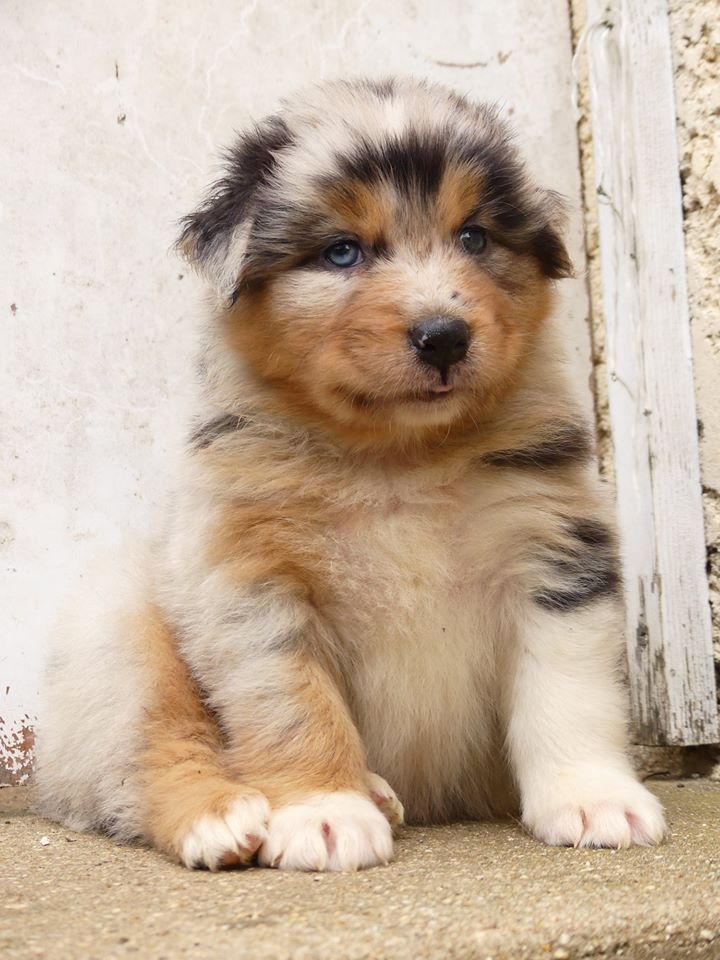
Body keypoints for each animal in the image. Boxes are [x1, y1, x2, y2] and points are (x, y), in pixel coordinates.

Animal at [35, 77, 665, 871]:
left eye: (474, 237)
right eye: (342, 252)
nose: (443, 336)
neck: (396, 457)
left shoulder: (555, 550)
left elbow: (569, 692)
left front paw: (594, 800)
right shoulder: (249, 581)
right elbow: (295, 706)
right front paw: (324, 812)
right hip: (119, 635)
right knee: (152, 752)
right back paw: (227, 818)